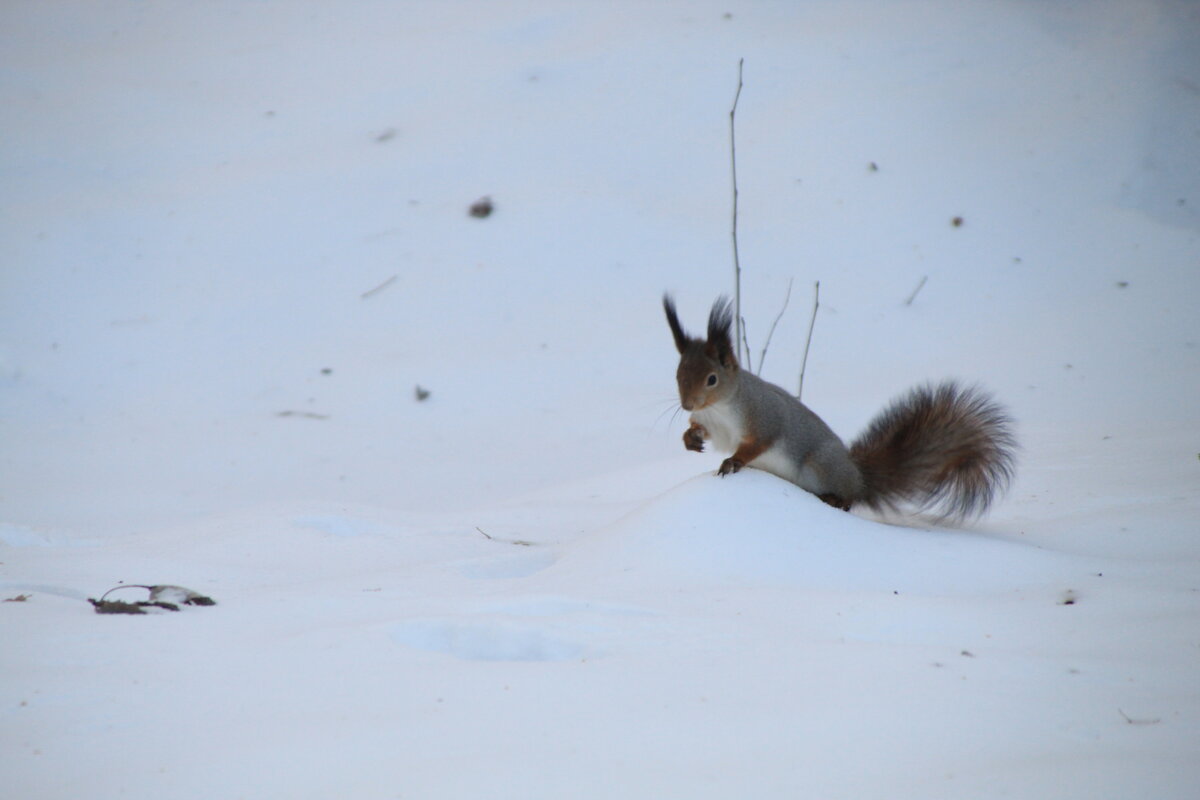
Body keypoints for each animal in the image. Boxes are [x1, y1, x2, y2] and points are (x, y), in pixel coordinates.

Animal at [662, 296, 1017, 520]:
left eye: (711, 379)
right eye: (677, 374)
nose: (687, 403)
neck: (720, 409)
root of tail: (858, 477)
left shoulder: (764, 417)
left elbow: (758, 443)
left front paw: (733, 461)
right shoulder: (715, 425)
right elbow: (706, 434)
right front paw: (691, 438)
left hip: (820, 465)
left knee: (849, 499)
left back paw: (837, 498)